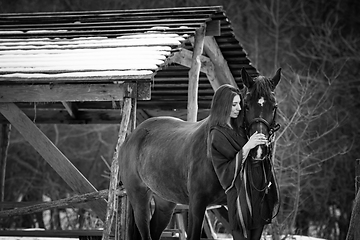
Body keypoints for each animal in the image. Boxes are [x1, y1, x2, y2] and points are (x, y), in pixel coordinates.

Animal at [118, 67, 282, 240]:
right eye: (247, 106)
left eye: (274, 106)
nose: (259, 150)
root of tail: (132, 136)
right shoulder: (197, 205)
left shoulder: (250, 216)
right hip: (139, 198)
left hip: (164, 202)